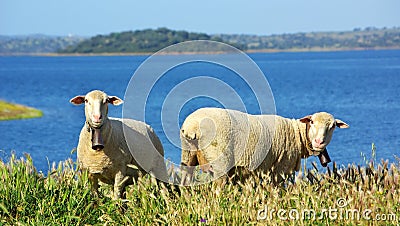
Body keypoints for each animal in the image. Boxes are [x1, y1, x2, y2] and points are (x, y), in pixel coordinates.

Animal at [180, 107, 348, 185]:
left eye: (333, 126)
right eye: (312, 121)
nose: (319, 142)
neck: (297, 134)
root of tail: (192, 126)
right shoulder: (280, 167)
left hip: (188, 155)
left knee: (185, 177)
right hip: (220, 161)